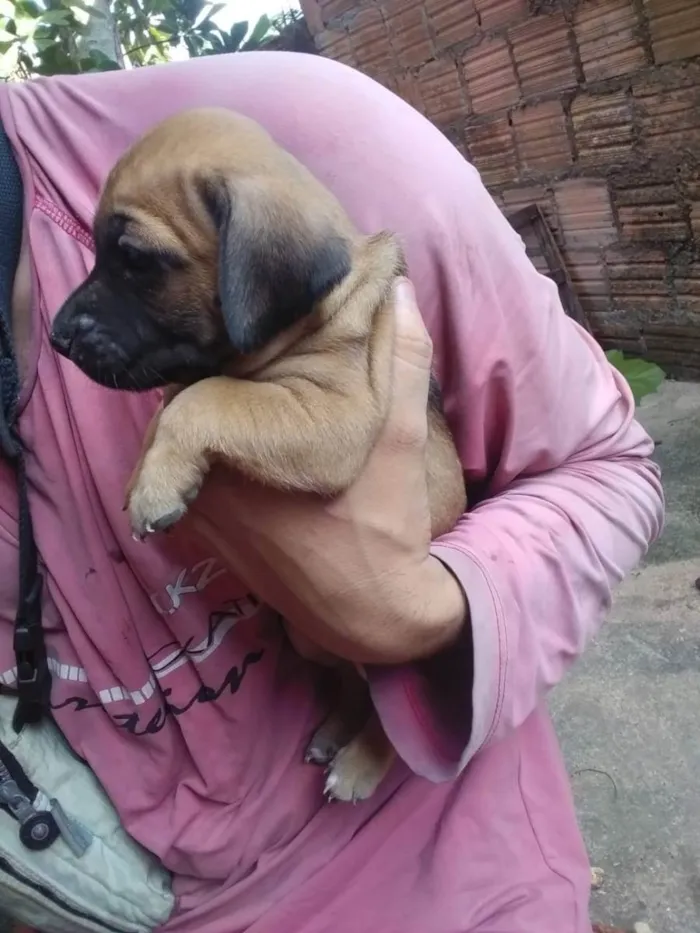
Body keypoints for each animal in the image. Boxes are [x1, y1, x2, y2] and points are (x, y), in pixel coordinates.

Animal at [47, 105, 464, 796]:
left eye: (135, 261)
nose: (55, 336)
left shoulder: (332, 412)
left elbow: (207, 397)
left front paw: (157, 485)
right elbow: (174, 400)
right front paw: (148, 473)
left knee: (390, 712)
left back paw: (359, 762)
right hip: (312, 639)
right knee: (348, 681)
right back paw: (333, 732)